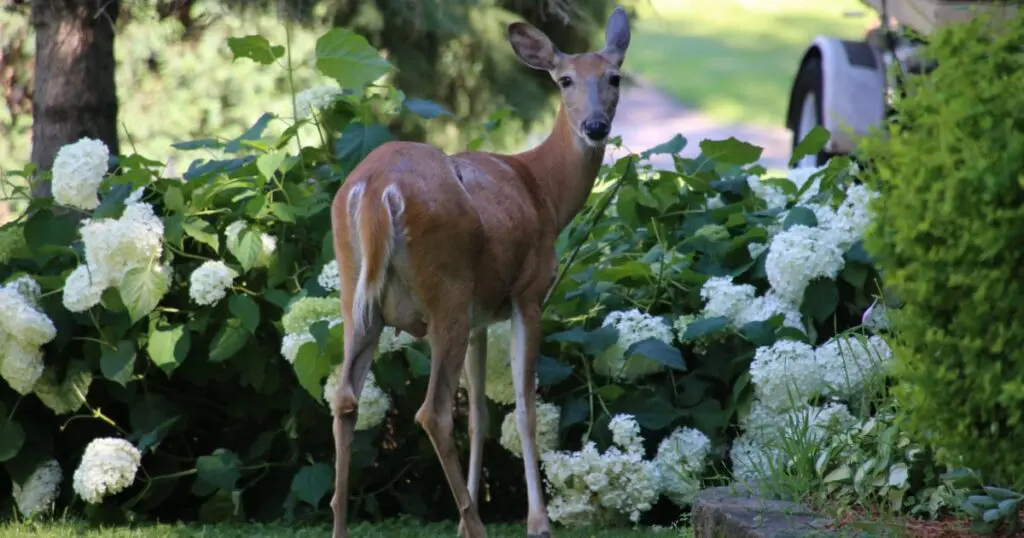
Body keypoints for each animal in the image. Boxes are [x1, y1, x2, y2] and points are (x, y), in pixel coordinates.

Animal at [328, 7, 631, 538]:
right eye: (565, 79)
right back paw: (478, 527)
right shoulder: (527, 293)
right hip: (445, 288)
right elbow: (525, 407)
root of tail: (376, 190)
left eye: (613, 76)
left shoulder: (479, 317)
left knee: (345, 399)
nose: (595, 125)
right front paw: (538, 522)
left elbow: (481, 415)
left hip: (358, 295)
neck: (544, 191)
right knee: (432, 412)